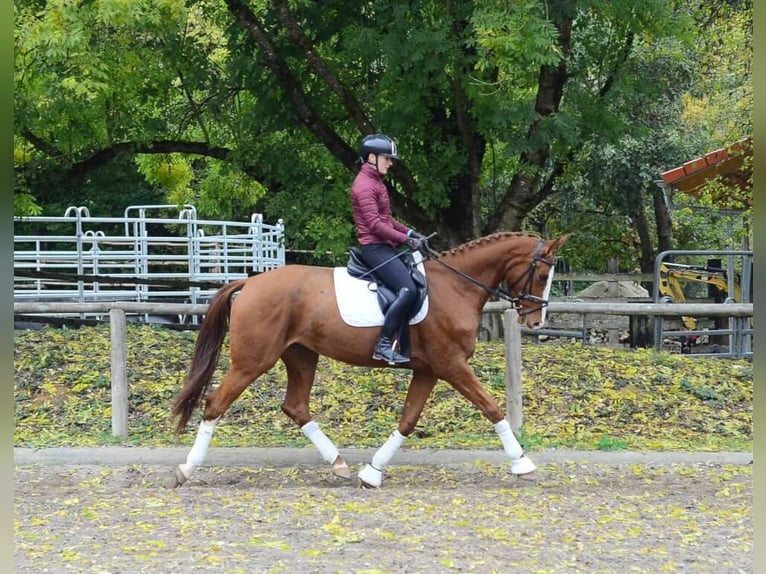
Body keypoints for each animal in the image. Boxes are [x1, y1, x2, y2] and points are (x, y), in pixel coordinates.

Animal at [172, 231, 569, 488]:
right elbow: (492, 407)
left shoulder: (429, 370)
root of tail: (250, 283)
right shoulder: (452, 365)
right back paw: (187, 469)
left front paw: (372, 472)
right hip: (253, 361)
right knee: (215, 403)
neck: (456, 286)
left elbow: (408, 420)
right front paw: (523, 463)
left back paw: (339, 465)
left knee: (296, 406)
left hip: (301, 356)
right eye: (543, 274)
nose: (536, 321)